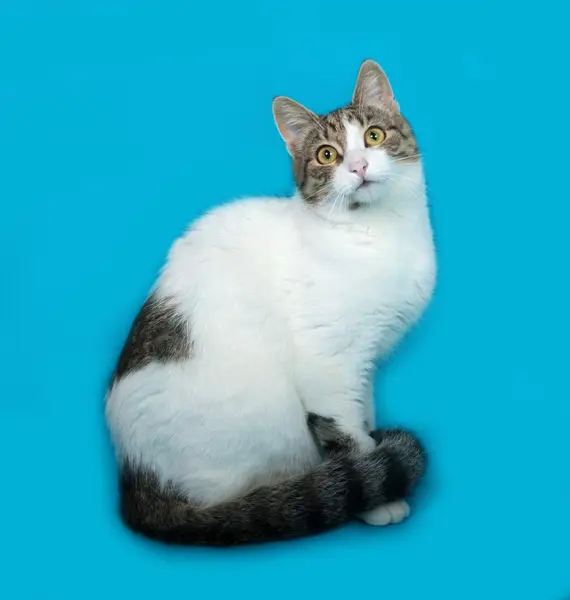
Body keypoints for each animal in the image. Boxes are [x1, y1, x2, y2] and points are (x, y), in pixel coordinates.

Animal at [106, 59, 434, 544]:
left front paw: (375, 458)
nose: (358, 166)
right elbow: (346, 430)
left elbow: (363, 411)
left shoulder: (365, 361)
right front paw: (375, 494)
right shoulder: (328, 363)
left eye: (374, 136)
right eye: (326, 156)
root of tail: (134, 479)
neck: (376, 233)